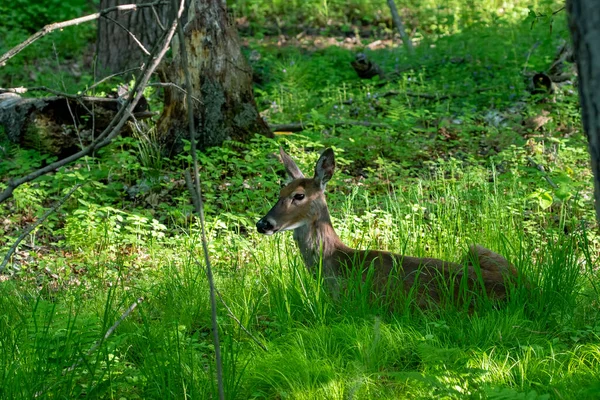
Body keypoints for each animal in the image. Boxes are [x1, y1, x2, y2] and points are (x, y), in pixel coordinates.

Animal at [255, 148, 516, 308]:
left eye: (299, 195)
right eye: (280, 192)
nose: (262, 224)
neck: (335, 262)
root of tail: (522, 287)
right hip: (476, 248)